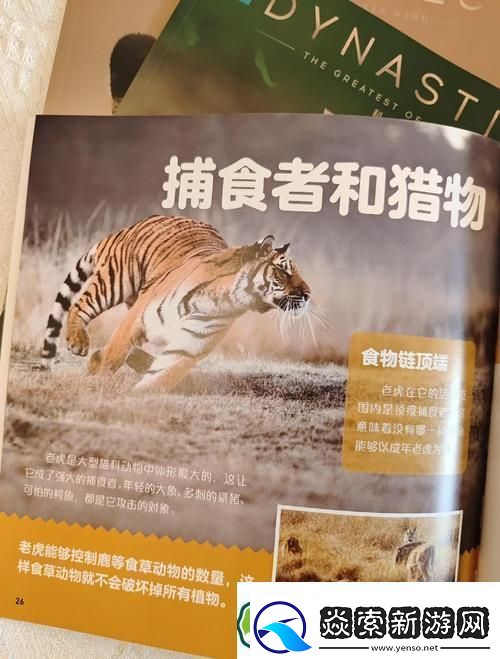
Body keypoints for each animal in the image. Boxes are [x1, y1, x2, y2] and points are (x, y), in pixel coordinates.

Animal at [41, 215, 311, 391]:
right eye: (283, 271)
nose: (308, 294)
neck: (227, 300)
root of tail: (127, 228)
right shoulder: (138, 316)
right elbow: (114, 355)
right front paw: (98, 381)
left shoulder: (192, 344)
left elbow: (166, 373)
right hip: (116, 282)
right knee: (81, 304)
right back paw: (79, 343)